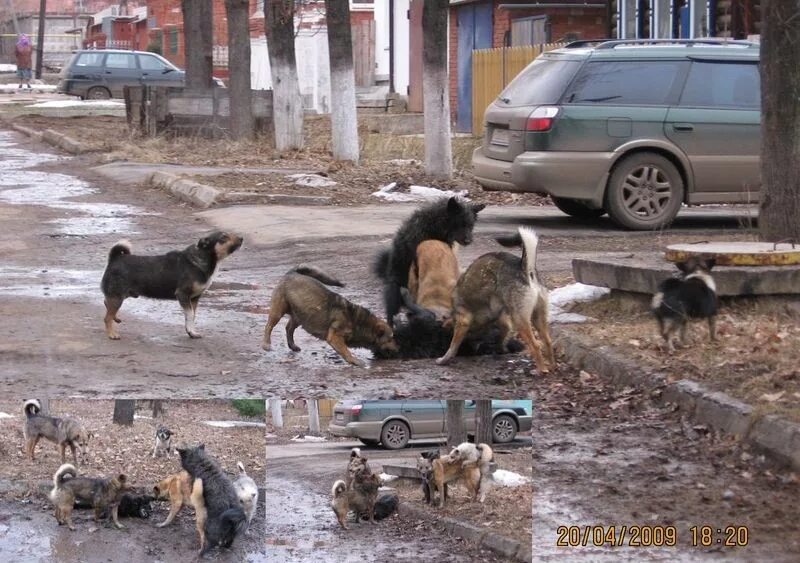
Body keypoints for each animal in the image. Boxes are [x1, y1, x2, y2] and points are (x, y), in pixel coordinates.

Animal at [99, 229, 241, 340]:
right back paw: (112, 334)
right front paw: (191, 331)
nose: (241, 238)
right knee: (106, 317)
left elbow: (192, 316)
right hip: (117, 296)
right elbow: (190, 315)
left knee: (106, 304)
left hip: (123, 294)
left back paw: (116, 318)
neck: (202, 257)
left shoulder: (194, 298)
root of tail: (115, 258)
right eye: (223, 237)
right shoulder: (183, 295)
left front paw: (191, 332)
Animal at [264, 266, 398, 368]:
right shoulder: (335, 337)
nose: (399, 348)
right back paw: (266, 344)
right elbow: (346, 351)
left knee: (289, 328)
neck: (357, 321)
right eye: (390, 338)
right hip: (279, 311)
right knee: (269, 326)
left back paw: (292, 345)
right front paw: (355, 361)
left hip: (301, 315)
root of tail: (292, 272)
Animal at [434, 227, 552, 372]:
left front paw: (444, 358)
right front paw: (500, 349)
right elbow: (502, 335)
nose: (474, 350)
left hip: (520, 319)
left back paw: (541, 370)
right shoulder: (503, 321)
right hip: (538, 317)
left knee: (535, 345)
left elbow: (453, 345)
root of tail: (524, 269)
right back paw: (553, 366)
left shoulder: (463, 320)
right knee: (548, 341)